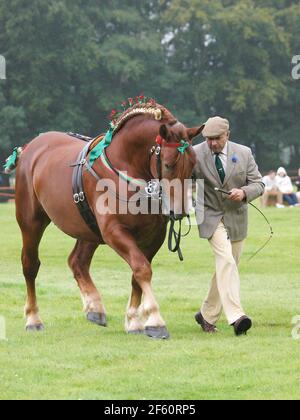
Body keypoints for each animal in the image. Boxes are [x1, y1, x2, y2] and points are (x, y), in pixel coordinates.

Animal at [13, 103, 204, 340]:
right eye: (168, 165)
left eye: (193, 165)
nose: (180, 212)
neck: (125, 170)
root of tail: (31, 147)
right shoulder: (114, 231)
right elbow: (142, 268)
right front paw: (155, 320)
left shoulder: (154, 236)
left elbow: (138, 273)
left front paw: (134, 320)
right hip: (31, 221)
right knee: (30, 264)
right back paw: (33, 318)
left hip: (87, 227)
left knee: (77, 261)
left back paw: (94, 307)